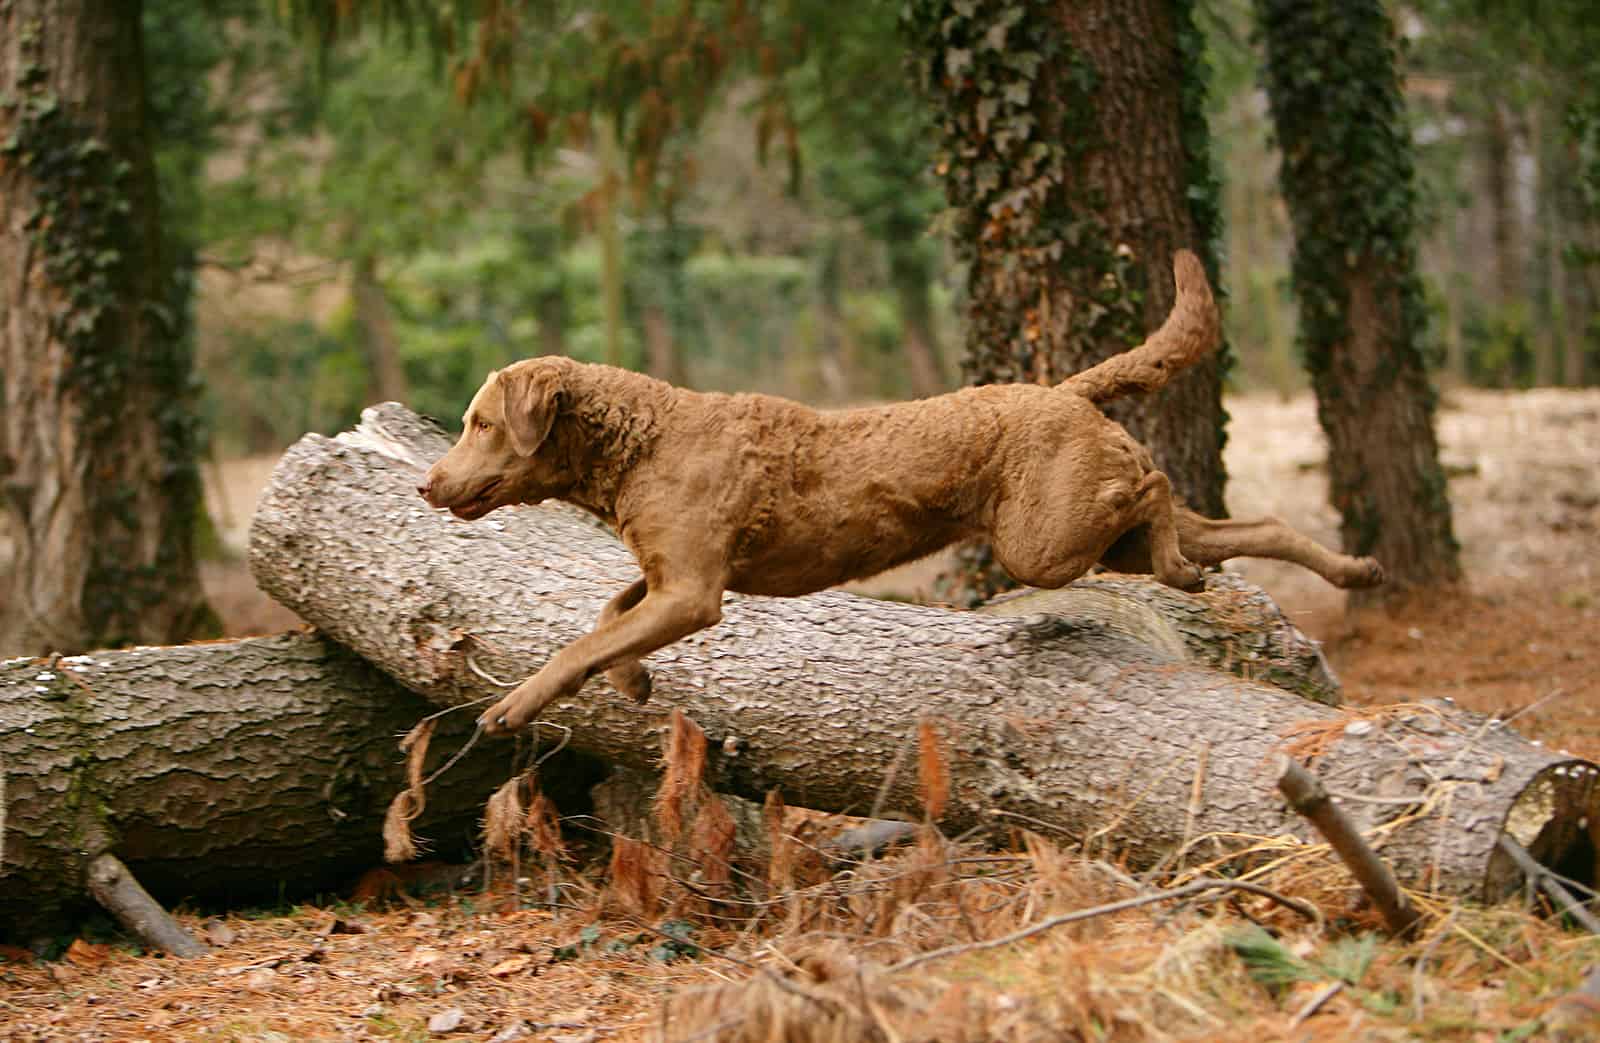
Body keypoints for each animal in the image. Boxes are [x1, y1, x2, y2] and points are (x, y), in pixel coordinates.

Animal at [419, 251, 1382, 732]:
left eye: (477, 420)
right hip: (1101, 535)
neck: (642, 439)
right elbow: (605, 615)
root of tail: (1063, 390)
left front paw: (511, 706)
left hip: (1045, 538)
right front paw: (633, 681)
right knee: (1246, 522)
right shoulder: (674, 578)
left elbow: (577, 644)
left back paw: (1196, 565)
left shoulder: (694, 590)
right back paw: (1351, 570)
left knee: (1154, 485)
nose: (427, 482)